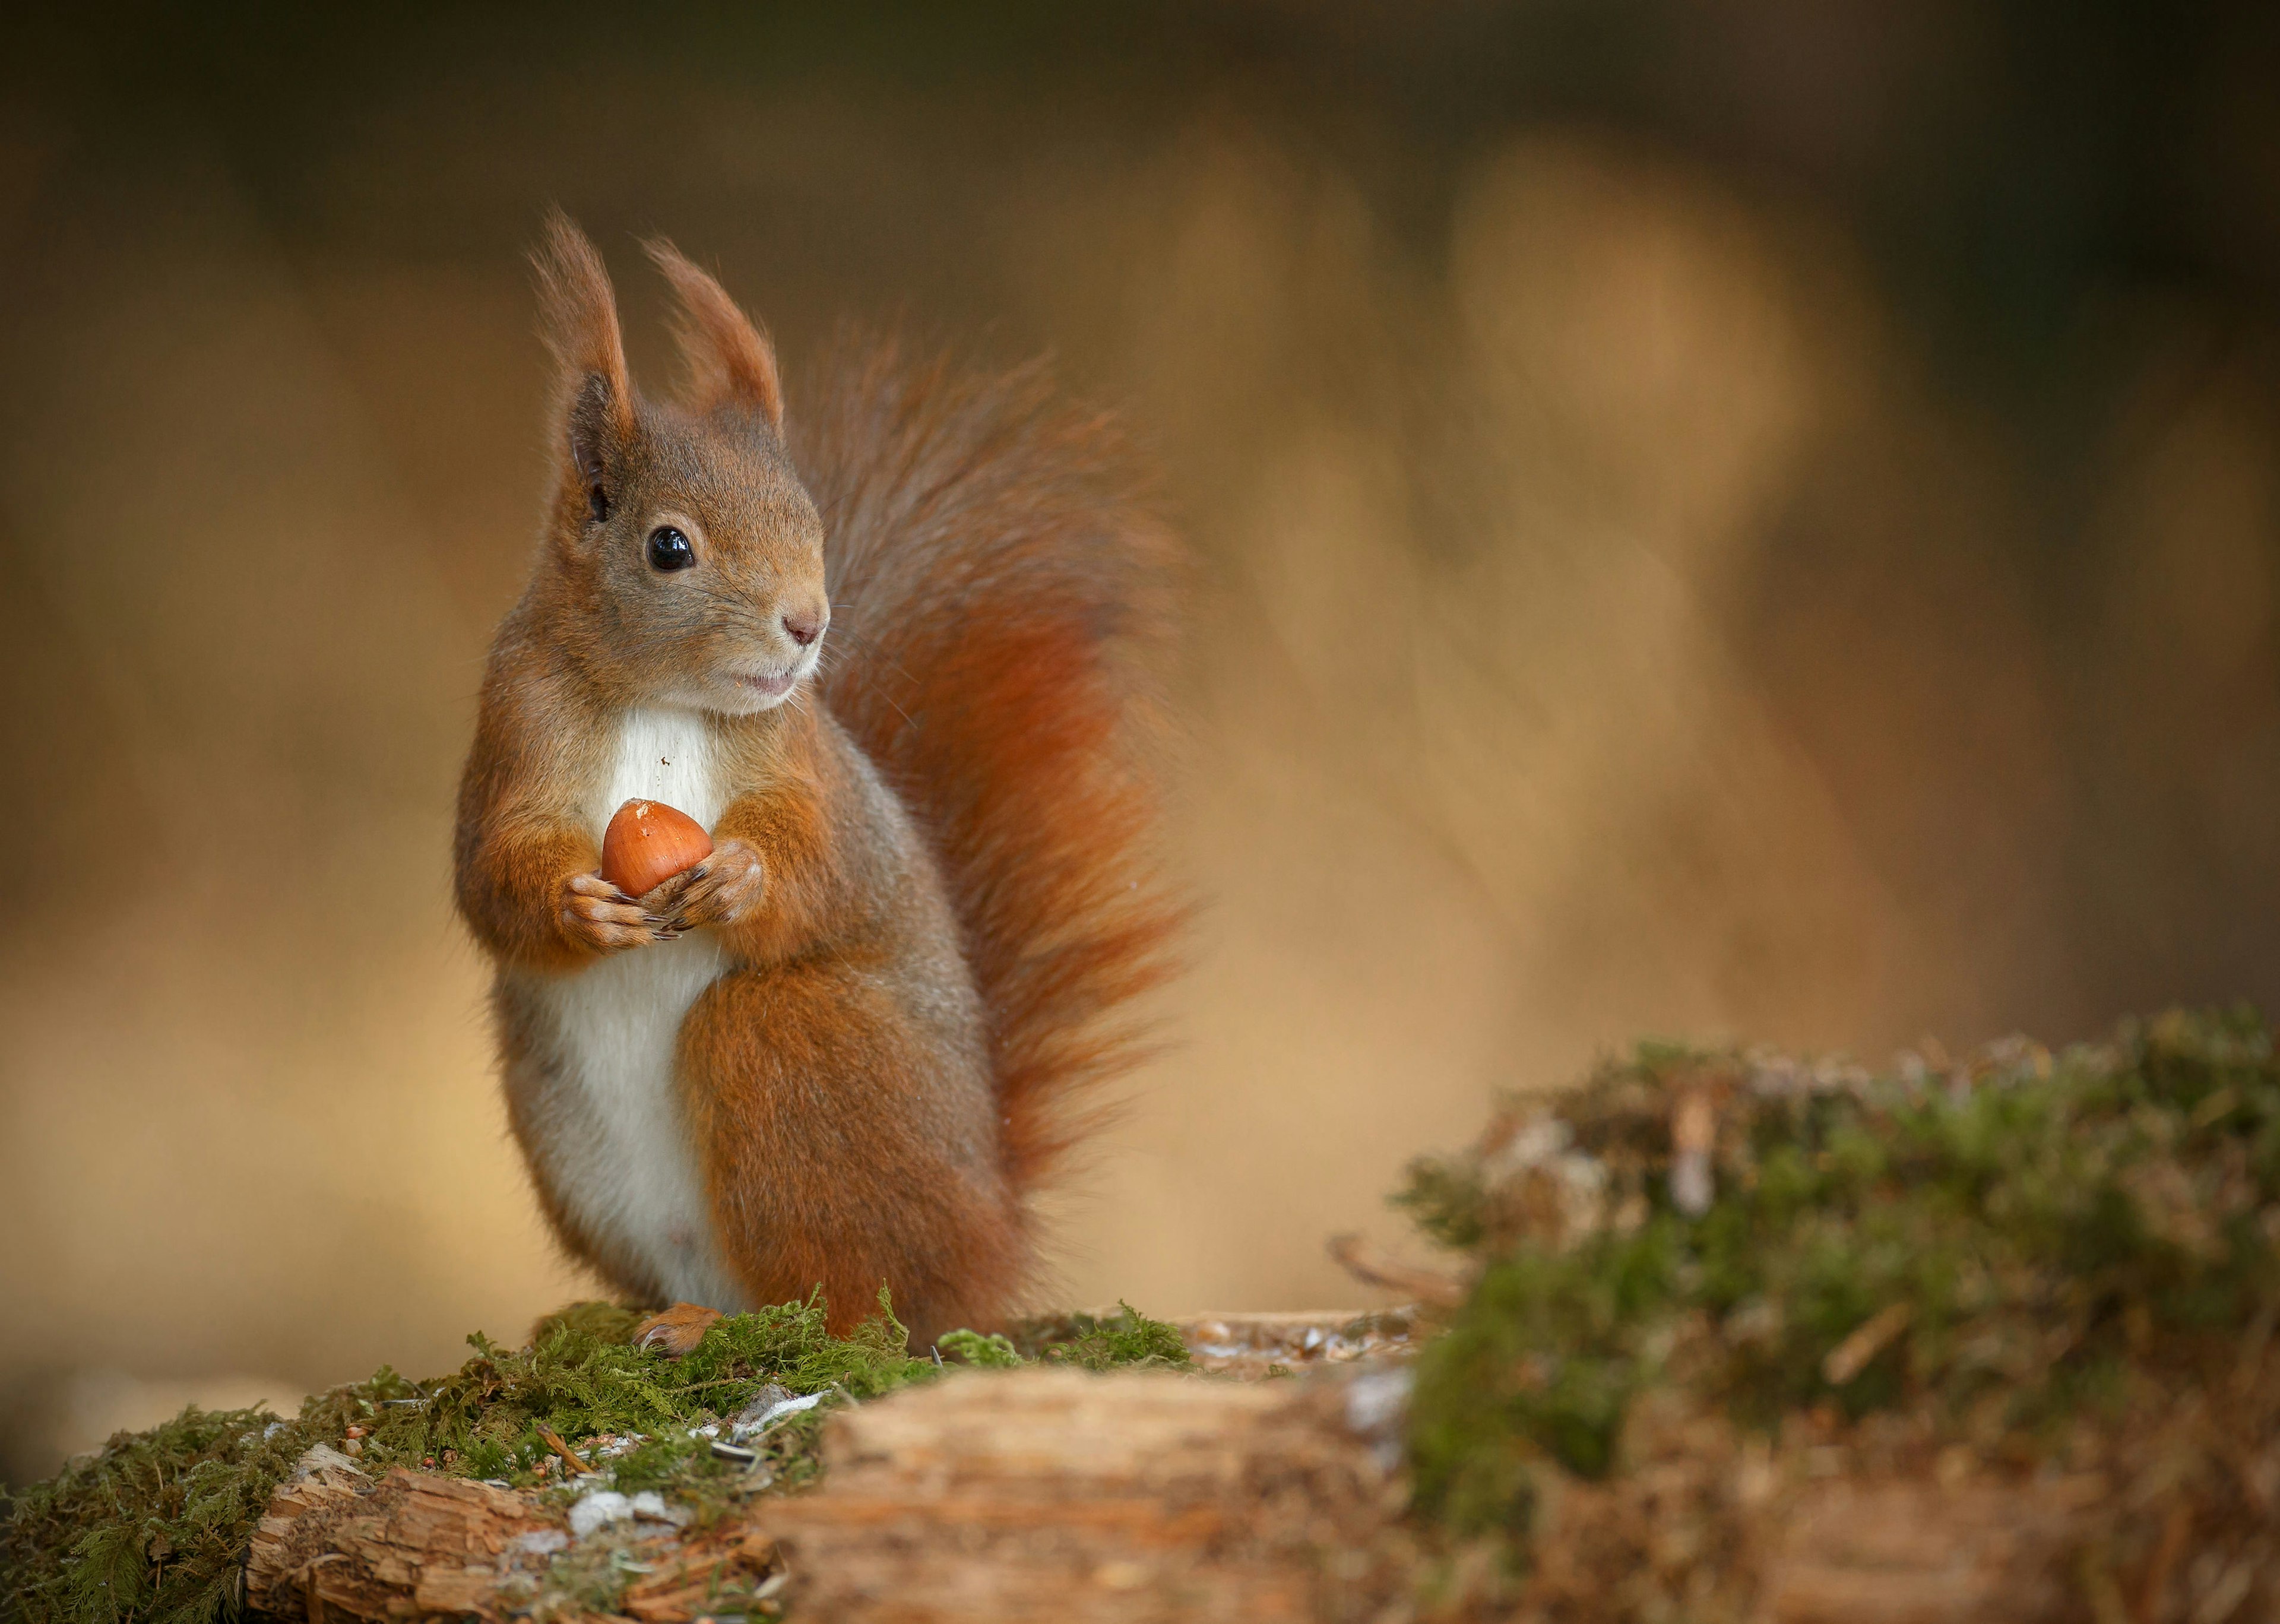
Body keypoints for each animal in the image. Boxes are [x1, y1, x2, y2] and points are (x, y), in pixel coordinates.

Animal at [456, 216, 1185, 1350]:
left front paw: (743, 879)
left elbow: (824, 861)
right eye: (670, 546)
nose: (809, 625)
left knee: (850, 1302)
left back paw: (742, 1327)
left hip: (798, 1046)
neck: (659, 700)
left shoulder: (806, 763)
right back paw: (658, 1318)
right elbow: (490, 874)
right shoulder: (514, 729)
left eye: (811, 521)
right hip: (564, 1133)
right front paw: (578, 907)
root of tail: (989, 1242)